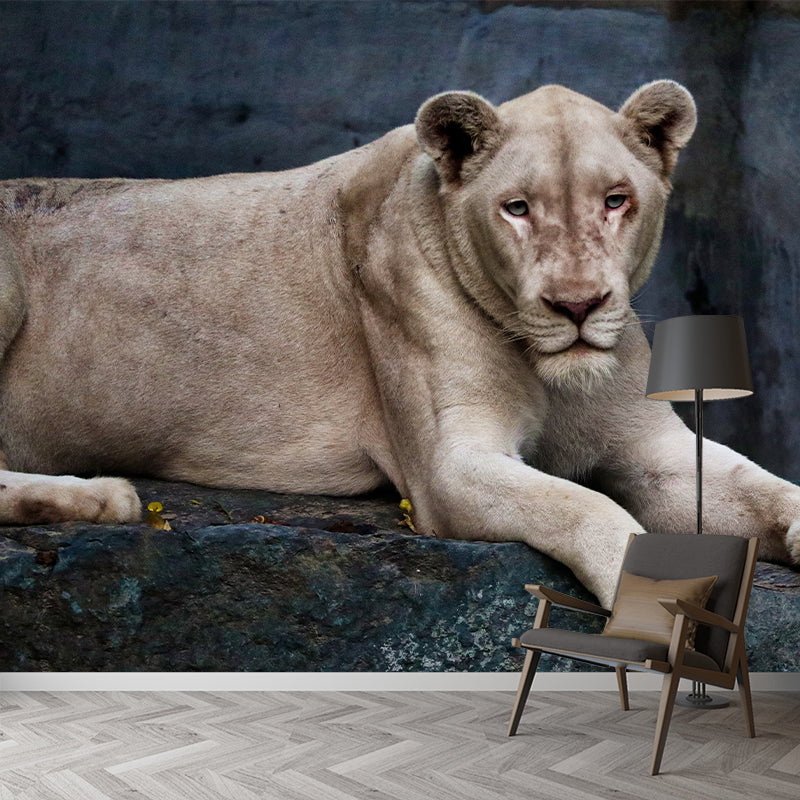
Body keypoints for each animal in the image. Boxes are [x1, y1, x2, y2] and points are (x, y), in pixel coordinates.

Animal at [0, 80, 798, 608]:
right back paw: (104, 497)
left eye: (615, 200)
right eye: (517, 208)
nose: (577, 306)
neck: (553, 371)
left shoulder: (652, 451)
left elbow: (767, 488)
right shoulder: (448, 470)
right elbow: (589, 511)